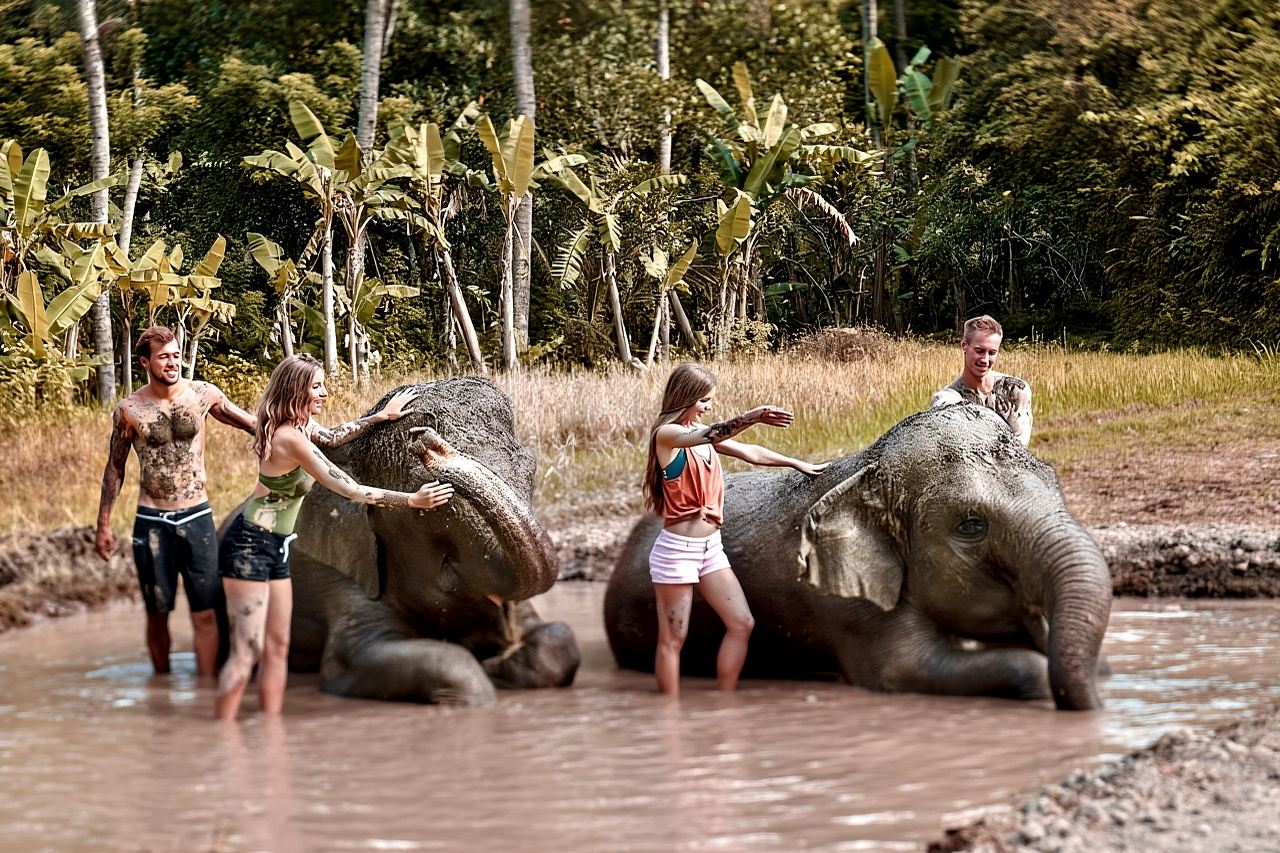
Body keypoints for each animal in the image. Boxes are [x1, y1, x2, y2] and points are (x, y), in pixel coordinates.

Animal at [281, 377, 580, 705]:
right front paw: (483, 676)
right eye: (427, 495)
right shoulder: (343, 575)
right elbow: (352, 660)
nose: (424, 438)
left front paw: (497, 661)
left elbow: (559, 639)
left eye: (531, 468)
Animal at [604, 404, 1112, 710]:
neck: (867, 470)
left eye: (1056, 484)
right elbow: (905, 668)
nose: (1098, 711)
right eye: (971, 525)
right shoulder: (849, 608)